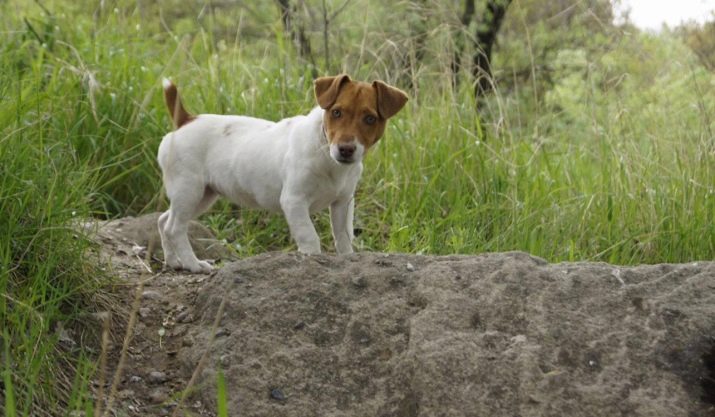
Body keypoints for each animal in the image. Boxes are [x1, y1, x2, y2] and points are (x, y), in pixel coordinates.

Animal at [158, 74, 408, 272]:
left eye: (370, 119)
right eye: (336, 112)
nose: (346, 150)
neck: (326, 153)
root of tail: (185, 120)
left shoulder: (343, 203)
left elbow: (343, 237)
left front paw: (347, 258)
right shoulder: (294, 201)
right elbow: (309, 236)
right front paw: (312, 257)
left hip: (202, 196)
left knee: (163, 221)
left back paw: (174, 261)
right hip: (189, 190)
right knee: (174, 227)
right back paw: (193, 264)